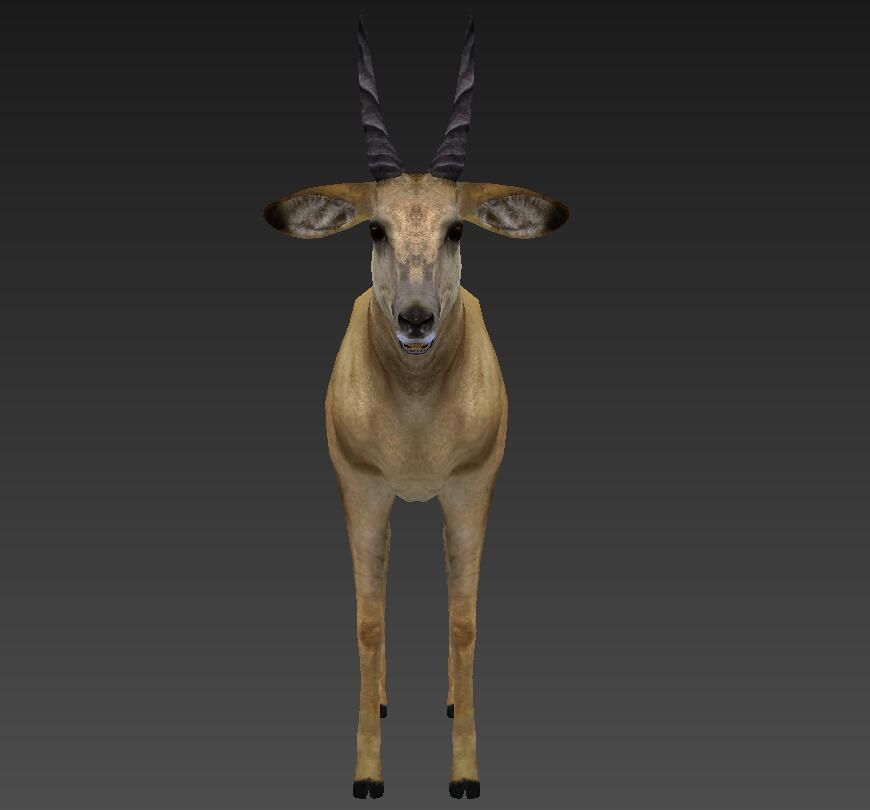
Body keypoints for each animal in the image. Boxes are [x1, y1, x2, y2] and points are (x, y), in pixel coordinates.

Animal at [263, 17, 568, 800]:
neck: (417, 419)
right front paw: (368, 775)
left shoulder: (471, 490)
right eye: (375, 229)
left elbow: (463, 624)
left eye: (457, 229)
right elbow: (369, 623)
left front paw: (465, 775)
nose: (416, 319)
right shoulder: (361, 489)